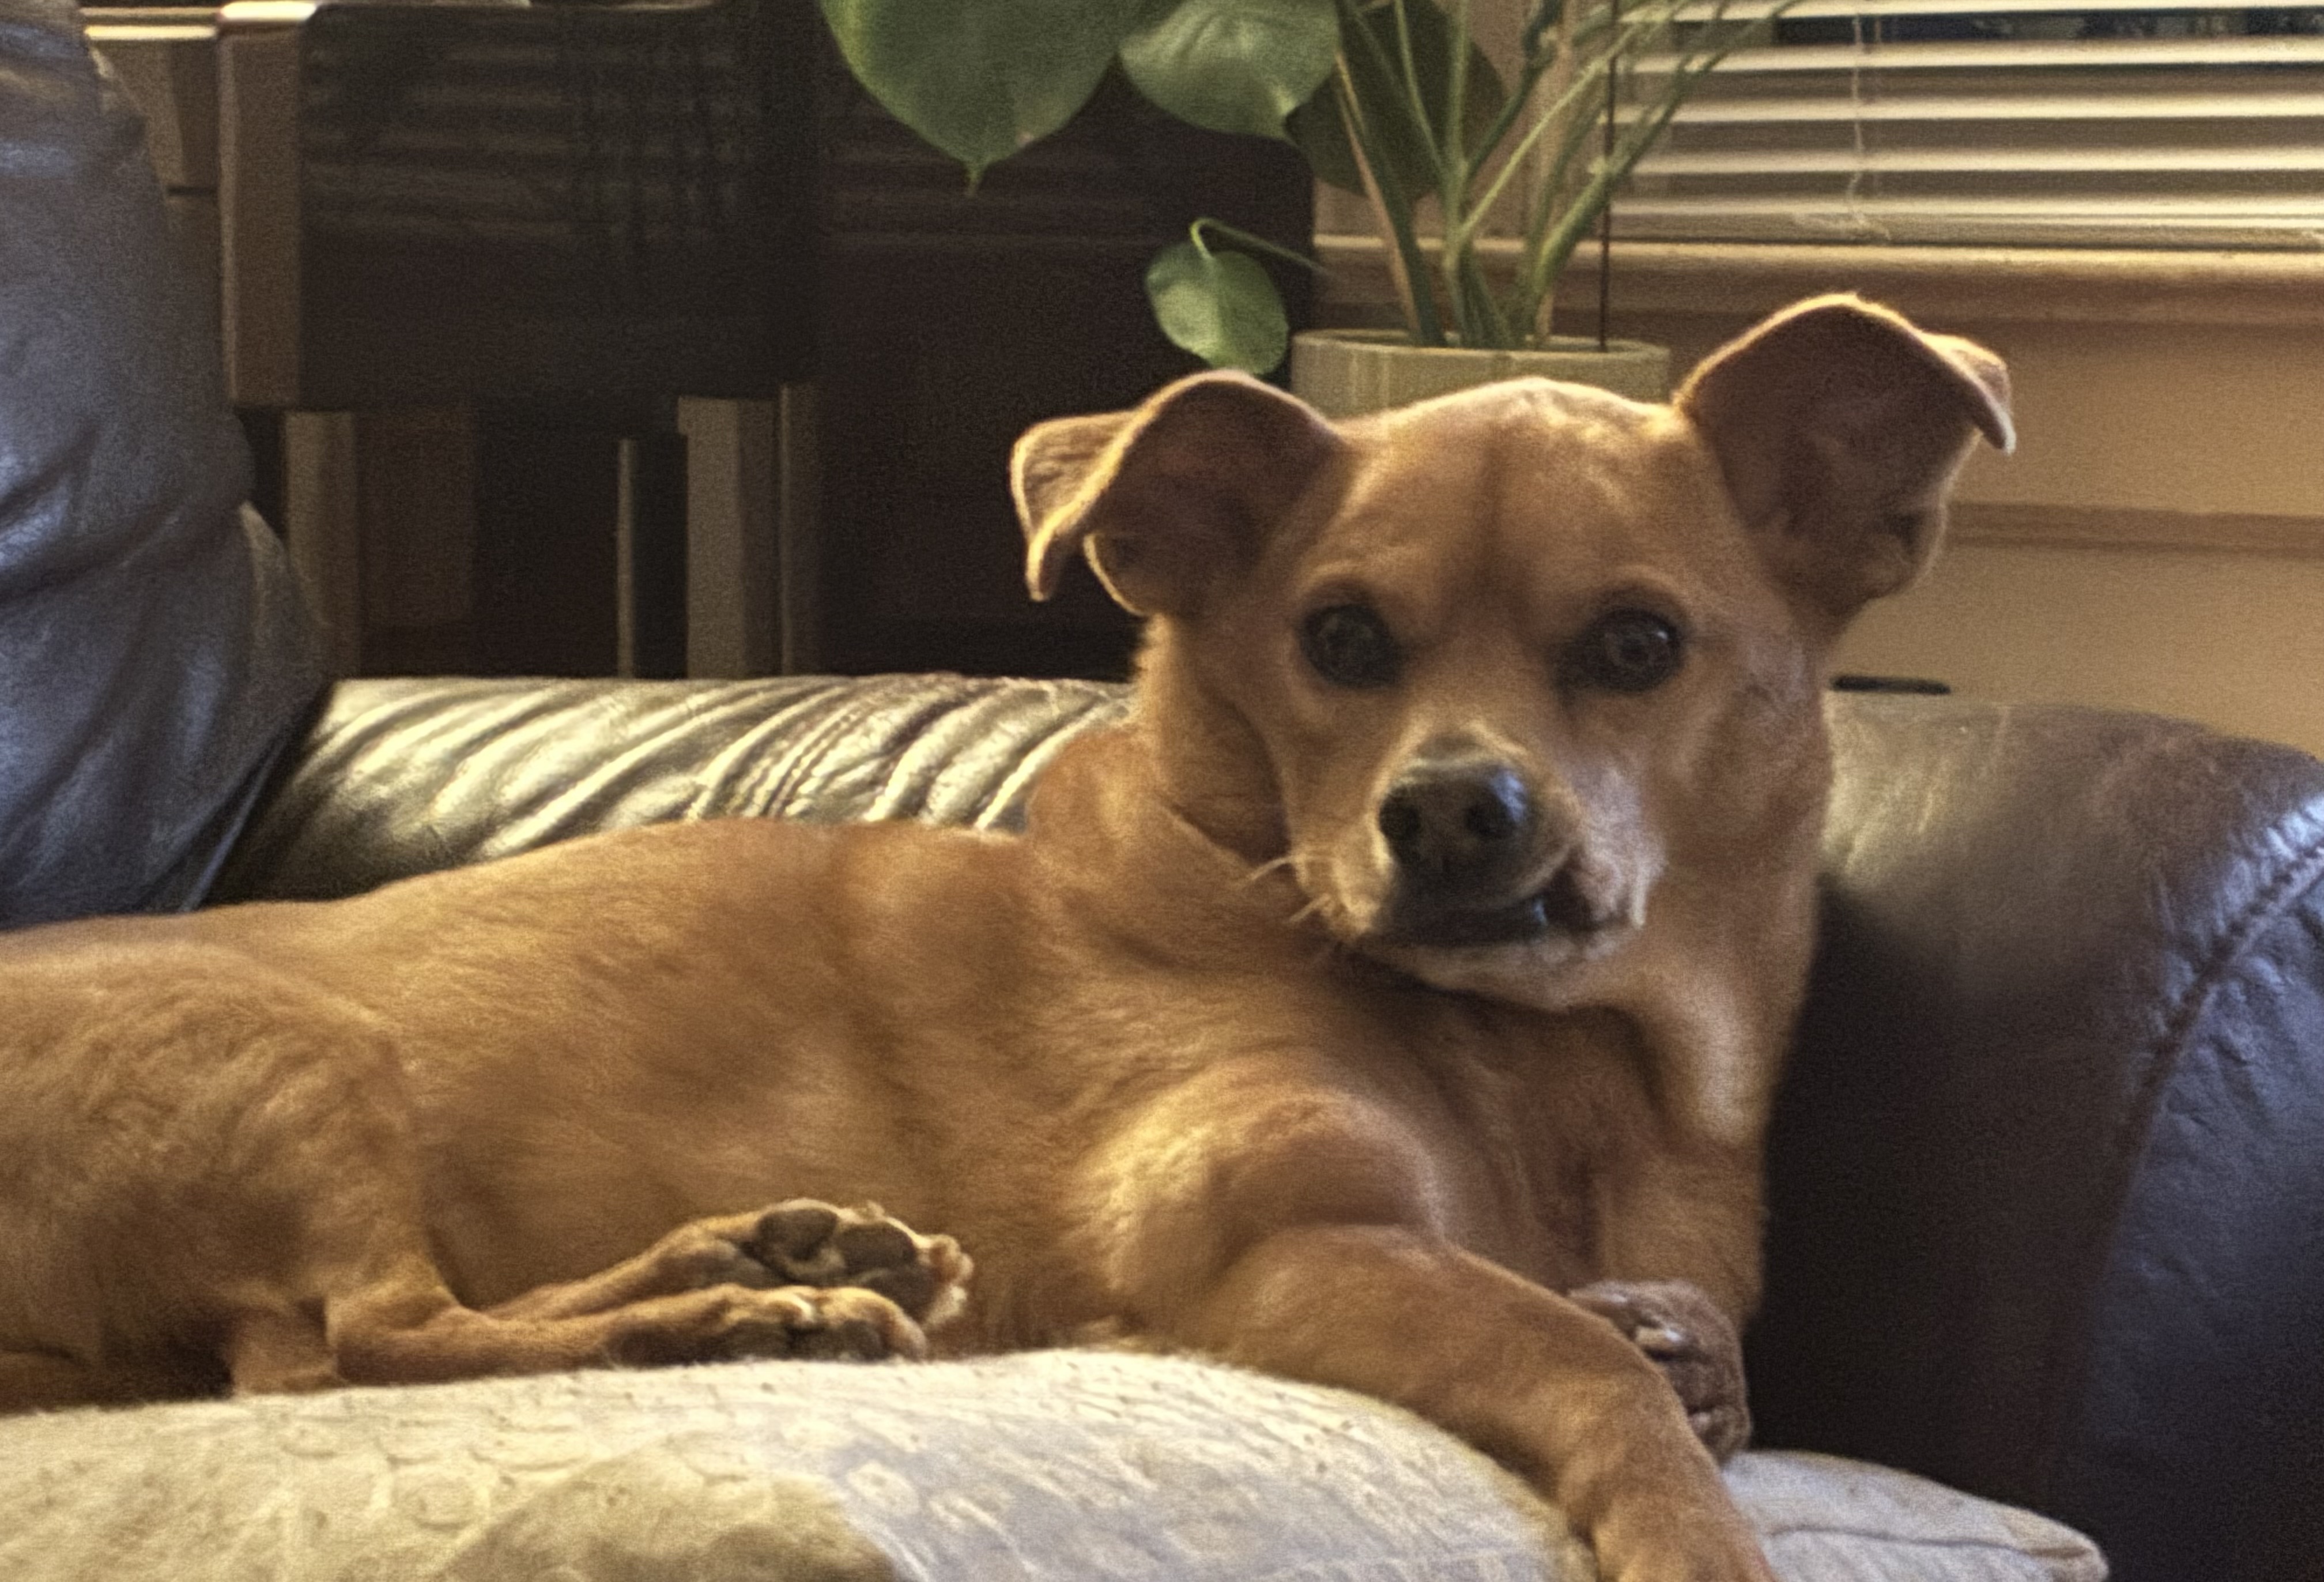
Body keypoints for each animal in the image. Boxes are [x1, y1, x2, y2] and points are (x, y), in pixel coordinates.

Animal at [0, 294, 2008, 1581]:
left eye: (1638, 644)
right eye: (1344, 639)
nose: (1450, 814)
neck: (1549, 1064)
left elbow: (1670, 1347)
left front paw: (1691, 1364)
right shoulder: (1273, 1239)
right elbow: (1595, 1369)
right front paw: (1693, 1529)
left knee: (370, 1339)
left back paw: (768, 1265)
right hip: (288, 1046)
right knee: (356, 1347)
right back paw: (731, 1310)